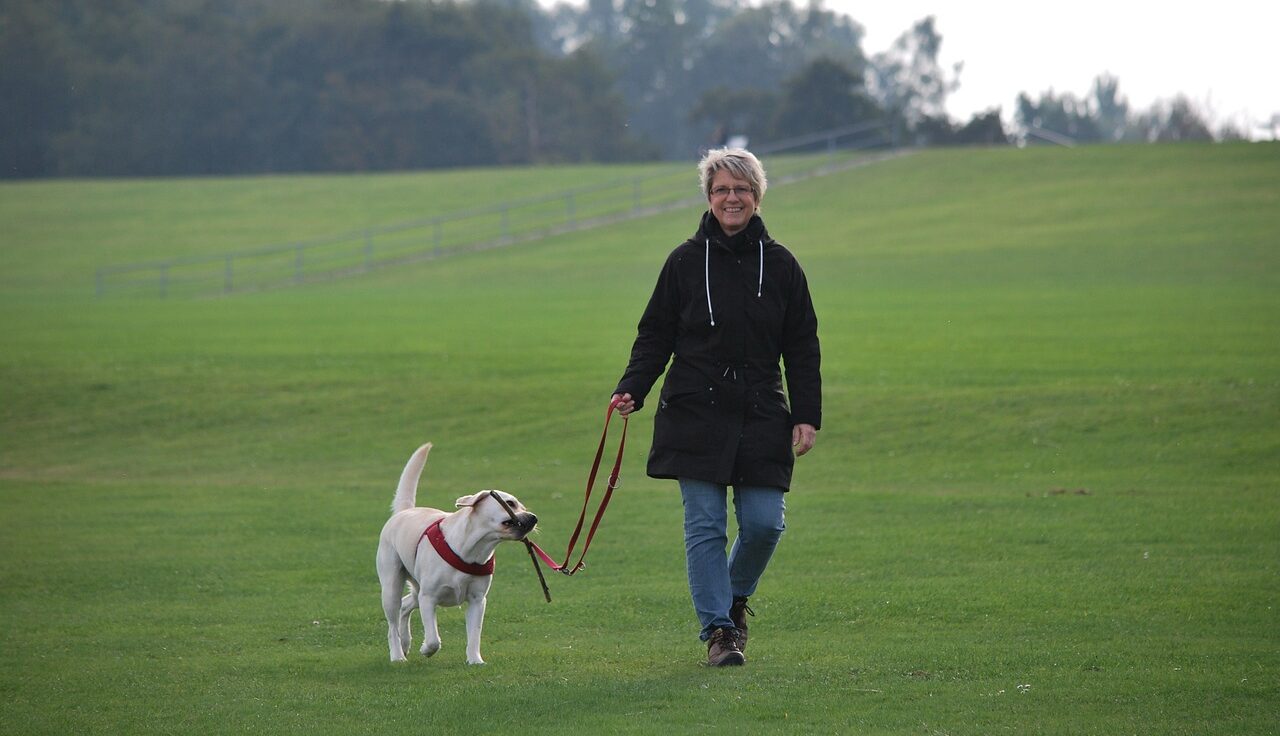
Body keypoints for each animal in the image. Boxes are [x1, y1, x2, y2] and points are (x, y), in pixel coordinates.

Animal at [378, 442, 540, 665]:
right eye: (510, 503)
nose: (534, 518)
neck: (472, 549)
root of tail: (404, 511)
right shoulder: (429, 598)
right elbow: (433, 639)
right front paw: (426, 649)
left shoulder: (477, 600)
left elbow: (474, 634)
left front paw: (475, 661)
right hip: (392, 585)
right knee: (392, 623)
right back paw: (397, 655)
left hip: (416, 589)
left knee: (405, 605)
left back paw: (405, 643)